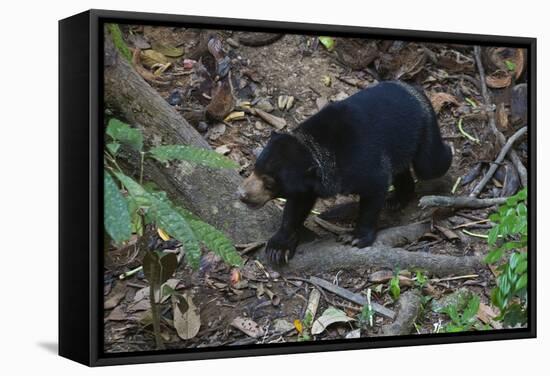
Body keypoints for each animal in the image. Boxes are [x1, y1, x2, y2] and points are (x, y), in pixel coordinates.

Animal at [237, 81, 452, 264]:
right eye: (255, 168)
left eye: (270, 183)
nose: (242, 195)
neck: (315, 151)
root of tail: (414, 88)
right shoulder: (307, 184)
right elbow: (297, 206)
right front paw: (278, 248)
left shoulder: (363, 164)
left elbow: (374, 190)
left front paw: (355, 238)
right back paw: (396, 200)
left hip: (424, 127)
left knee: (430, 164)